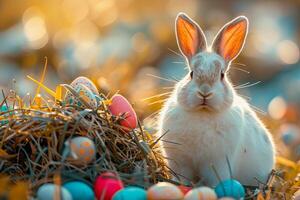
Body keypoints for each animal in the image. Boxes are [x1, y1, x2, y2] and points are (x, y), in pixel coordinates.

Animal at [158, 12, 276, 188]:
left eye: (222, 75)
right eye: (191, 73)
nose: (205, 93)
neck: (203, 112)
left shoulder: (217, 165)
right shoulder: (180, 163)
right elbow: (181, 178)